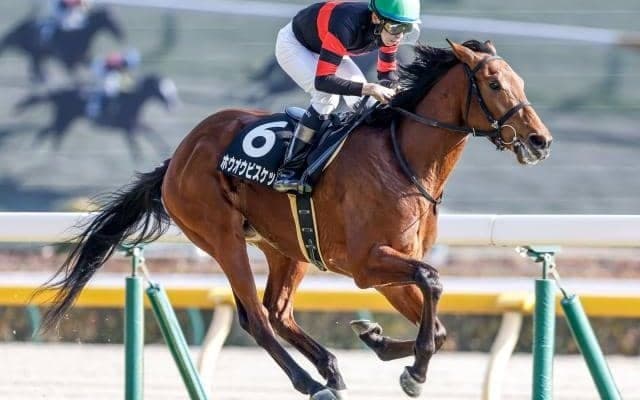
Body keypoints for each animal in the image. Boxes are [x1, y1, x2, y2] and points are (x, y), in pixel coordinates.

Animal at [14, 74, 178, 158]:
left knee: (53, 133)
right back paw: (36, 152)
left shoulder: (135, 125)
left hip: (65, 120)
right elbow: (141, 140)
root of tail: (58, 93)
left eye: (169, 88)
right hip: (63, 118)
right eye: (160, 88)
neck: (131, 101)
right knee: (47, 131)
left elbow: (151, 134)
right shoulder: (129, 127)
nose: (172, 105)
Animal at [38, 40, 552, 399]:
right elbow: (433, 280)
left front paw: (378, 339)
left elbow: (439, 321)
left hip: (289, 248)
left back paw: (331, 366)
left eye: (523, 83)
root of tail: (179, 155)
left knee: (278, 310)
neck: (405, 159)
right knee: (256, 318)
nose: (540, 140)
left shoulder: (389, 268)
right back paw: (311, 382)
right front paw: (414, 371)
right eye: (493, 84)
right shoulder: (367, 265)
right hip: (222, 238)